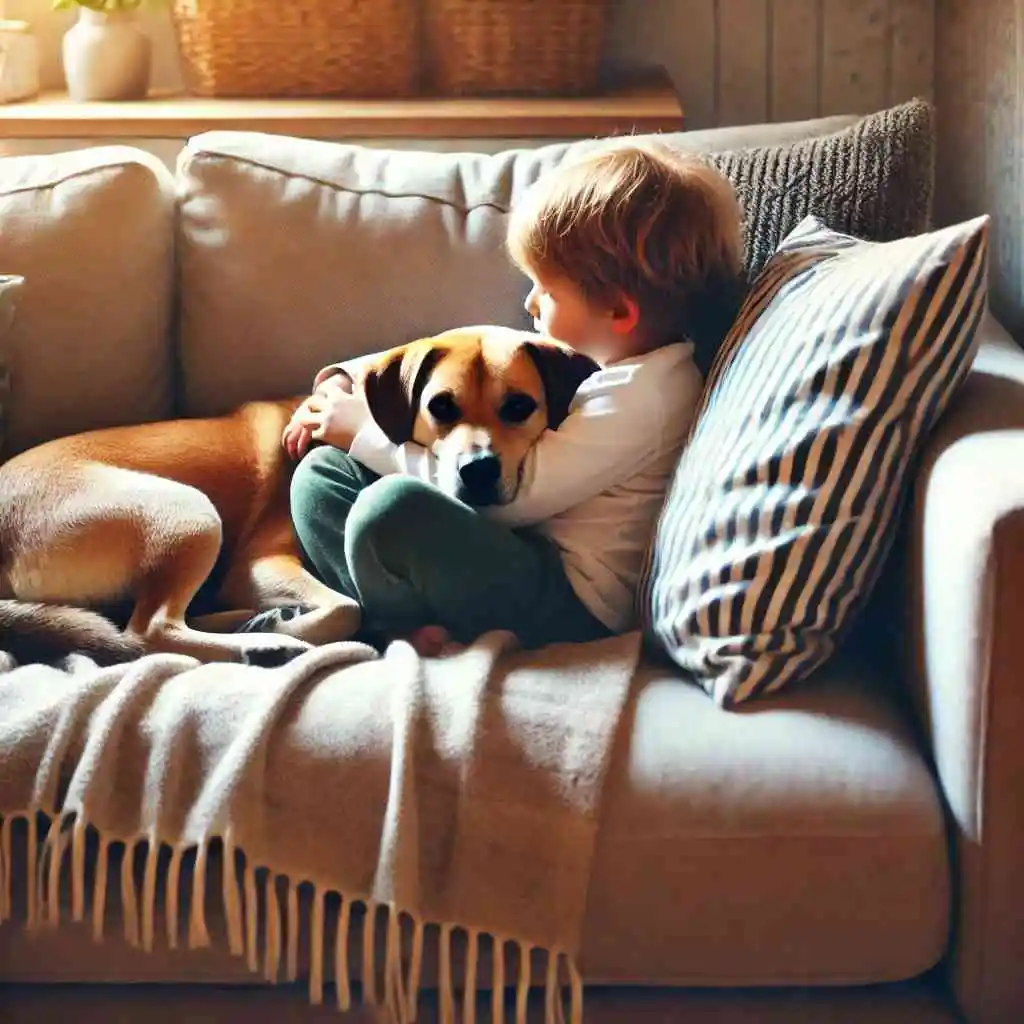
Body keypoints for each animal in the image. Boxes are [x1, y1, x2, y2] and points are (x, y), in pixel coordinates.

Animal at [0, 323, 598, 667]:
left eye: (519, 407)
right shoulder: (261, 561)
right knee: (150, 630)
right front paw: (293, 628)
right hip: (187, 512)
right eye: (440, 407)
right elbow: (347, 609)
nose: (477, 471)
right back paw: (266, 641)